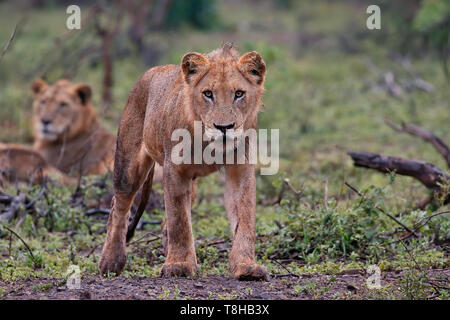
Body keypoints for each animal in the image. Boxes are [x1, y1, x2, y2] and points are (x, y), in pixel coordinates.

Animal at [99, 44, 268, 280]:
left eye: (239, 94)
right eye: (208, 94)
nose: (224, 127)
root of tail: (150, 73)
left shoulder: (240, 168)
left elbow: (244, 217)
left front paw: (246, 266)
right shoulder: (175, 170)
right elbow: (179, 220)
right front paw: (179, 265)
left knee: (164, 220)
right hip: (128, 166)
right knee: (119, 206)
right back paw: (110, 262)